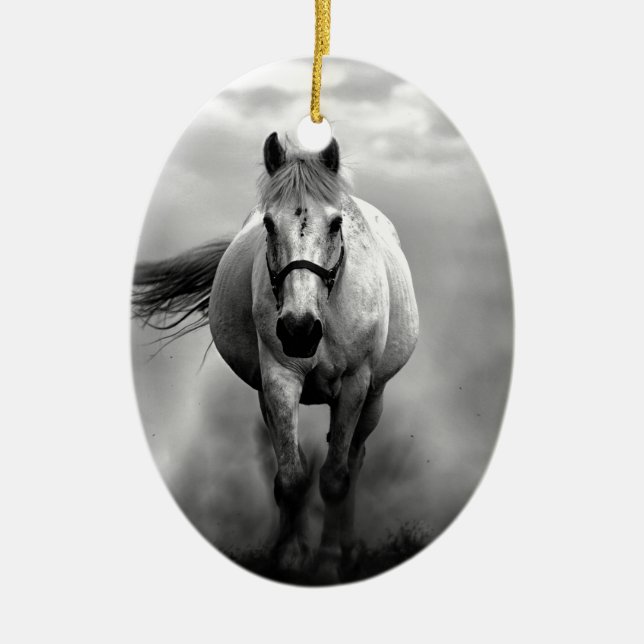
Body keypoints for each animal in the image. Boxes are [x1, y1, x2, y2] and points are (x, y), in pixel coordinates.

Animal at [132, 132, 419, 582]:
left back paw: (349, 548)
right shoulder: (279, 380)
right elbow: (290, 476)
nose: (299, 329)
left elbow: (335, 478)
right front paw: (289, 557)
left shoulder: (355, 384)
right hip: (266, 397)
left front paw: (329, 562)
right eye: (268, 224)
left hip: (374, 397)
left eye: (336, 224)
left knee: (355, 461)